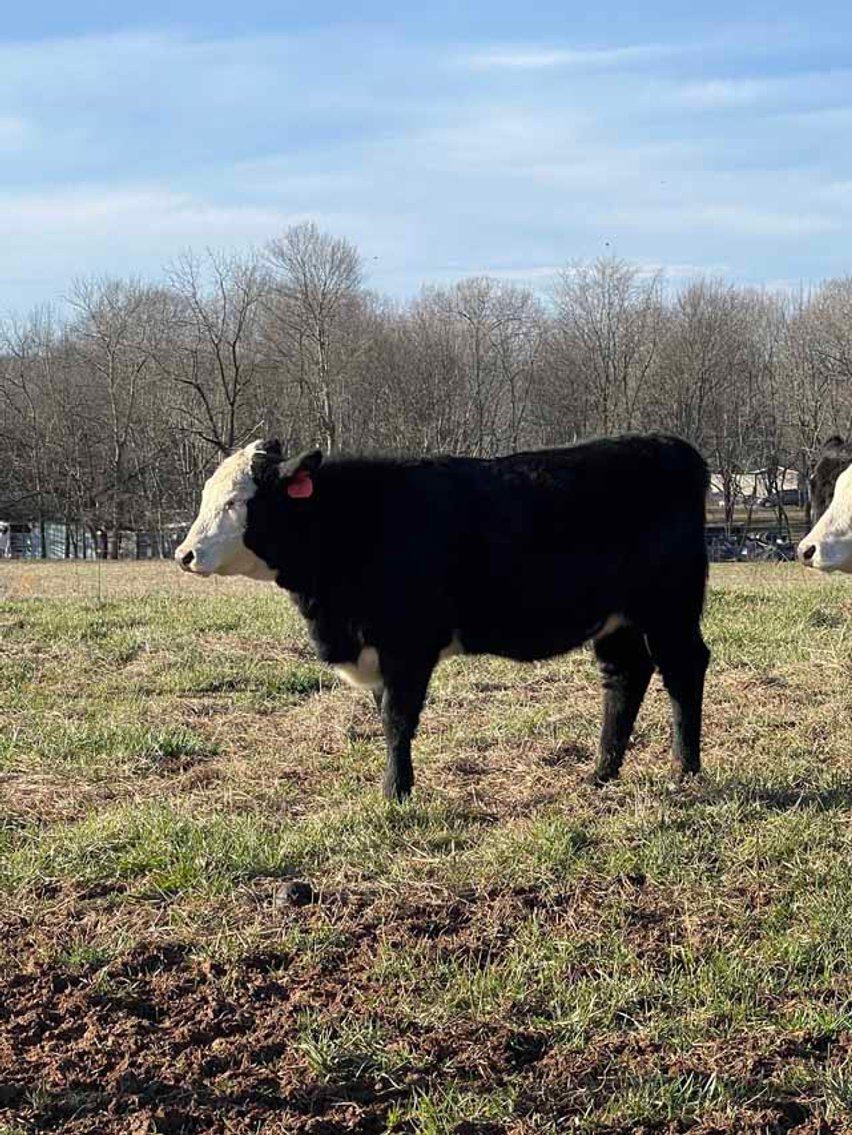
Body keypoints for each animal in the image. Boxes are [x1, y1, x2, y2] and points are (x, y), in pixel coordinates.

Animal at [175, 435, 710, 800]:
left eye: (236, 502)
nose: (184, 555)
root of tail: (668, 445)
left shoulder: (407, 646)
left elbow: (396, 719)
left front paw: (395, 794)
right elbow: (386, 717)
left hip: (670, 609)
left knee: (684, 669)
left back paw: (684, 771)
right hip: (618, 620)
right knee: (624, 677)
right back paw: (600, 773)